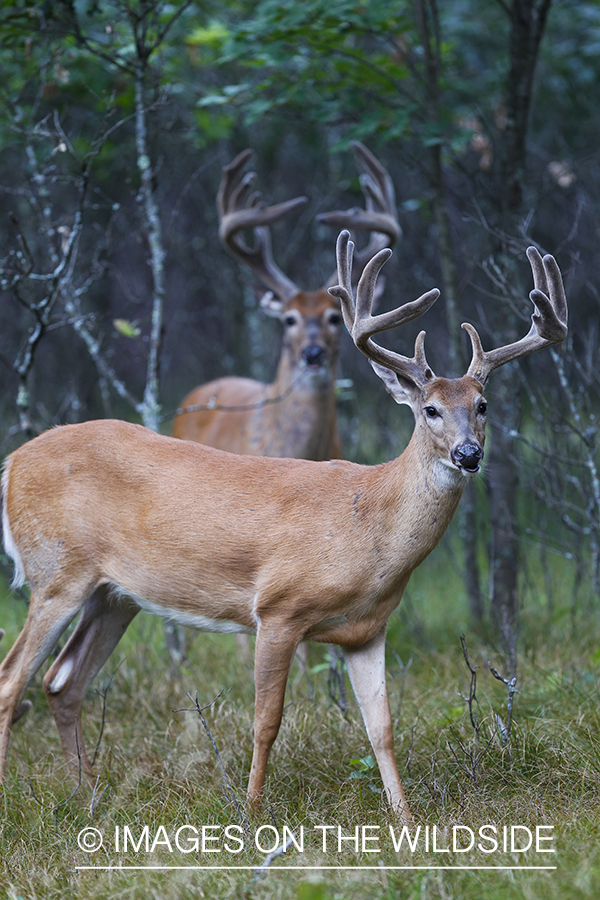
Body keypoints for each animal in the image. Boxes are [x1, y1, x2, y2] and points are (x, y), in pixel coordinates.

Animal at [0, 230, 568, 816]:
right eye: (429, 409)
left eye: (483, 404)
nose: (469, 454)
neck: (369, 529)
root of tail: (13, 463)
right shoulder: (277, 609)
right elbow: (266, 722)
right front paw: (252, 811)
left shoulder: (367, 630)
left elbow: (382, 728)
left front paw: (406, 820)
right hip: (56, 572)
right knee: (12, 680)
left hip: (114, 594)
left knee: (61, 680)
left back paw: (87, 796)